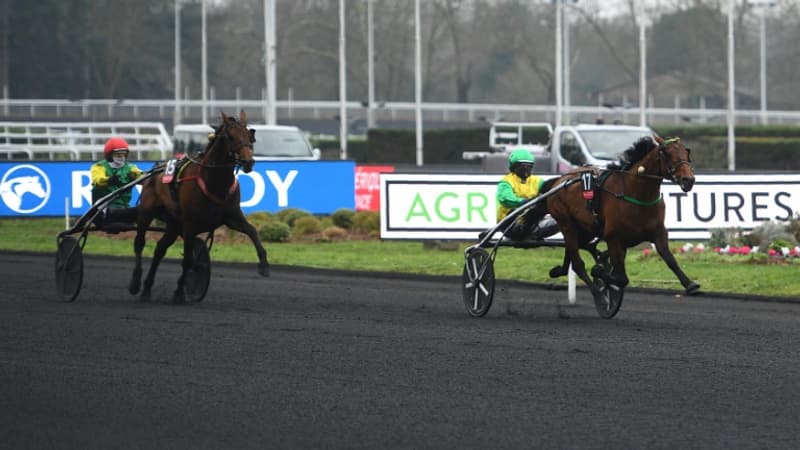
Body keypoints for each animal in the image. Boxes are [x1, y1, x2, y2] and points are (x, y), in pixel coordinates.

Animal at [129, 111, 268, 302]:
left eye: (249, 135)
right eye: (231, 137)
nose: (248, 162)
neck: (214, 182)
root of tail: (155, 170)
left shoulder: (232, 217)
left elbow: (252, 231)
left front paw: (264, 265)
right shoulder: (189, 225)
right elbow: (188, 260)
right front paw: (179, 292)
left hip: (173, 223)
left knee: (160, 249)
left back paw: (147, 289)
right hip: (146, 213)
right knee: (140, 243)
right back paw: (136, 283)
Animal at [544, 135, 700, 312]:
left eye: (686, 152)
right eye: (667, 154)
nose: (688, 180)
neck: (636, 194)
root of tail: (560, 180)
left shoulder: (658, 232)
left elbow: (669, 258)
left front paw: (690, 284)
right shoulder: (614, 238)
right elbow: (620, 278)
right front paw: (599, 272)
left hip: (585, 228)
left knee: (572, 250)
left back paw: (559, 270)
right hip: (566, 222)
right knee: (577, 263)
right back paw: (598, 294)